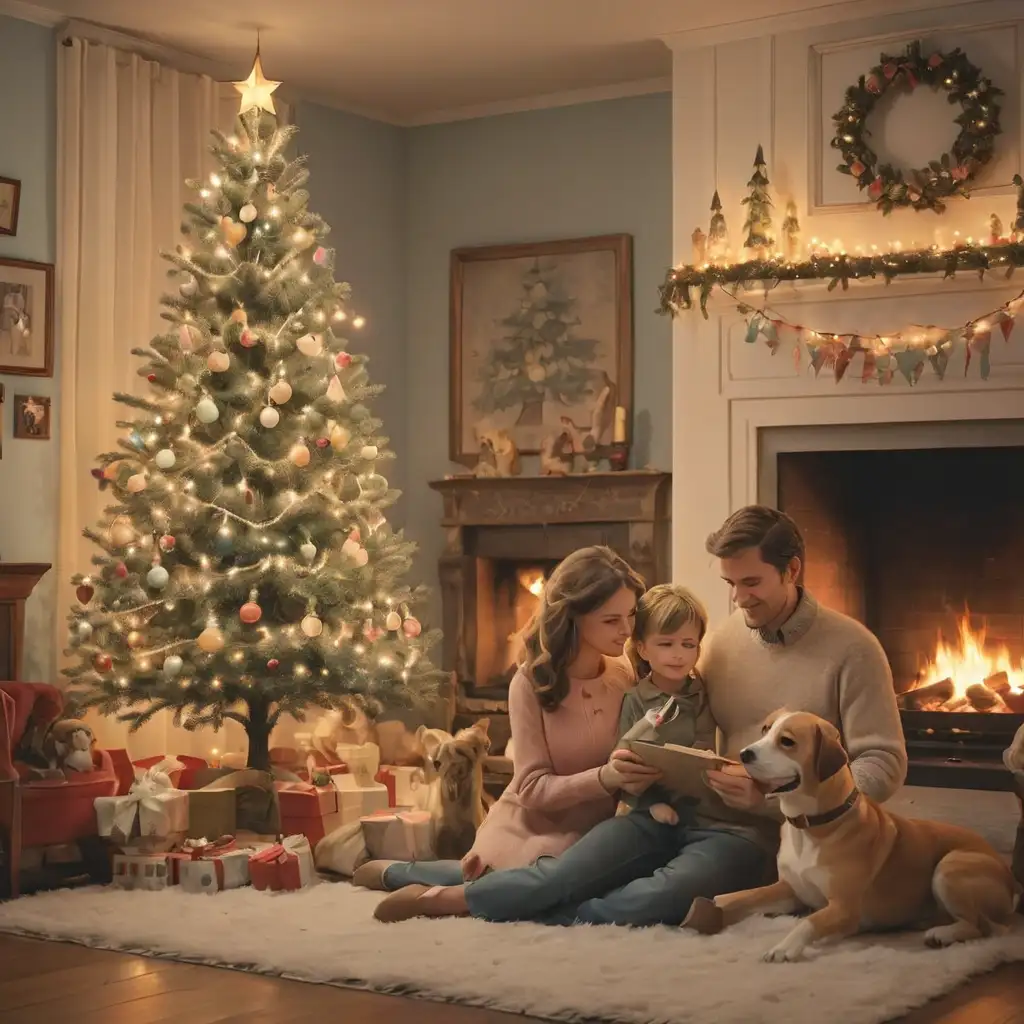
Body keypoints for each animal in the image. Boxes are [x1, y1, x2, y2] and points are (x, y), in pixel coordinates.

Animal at [684, 712, 1019, 958]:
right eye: (765, 729)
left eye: (787, 741)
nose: (744, 754)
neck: (811, 826)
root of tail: (1010, 878)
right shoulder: (790, 889)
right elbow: (744, 896)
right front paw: (713, 909)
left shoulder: (844, 908)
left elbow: (810, 921)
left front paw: (784, 947)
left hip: (950, 867)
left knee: (982, 926)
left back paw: (943, 933)